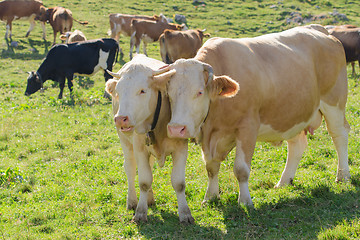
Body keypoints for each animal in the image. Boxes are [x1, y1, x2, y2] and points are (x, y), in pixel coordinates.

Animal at [105, 54, 194, 223]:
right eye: (118, 92)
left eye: (142, 91)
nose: (120, 119)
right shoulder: (139, 149)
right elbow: (144, 181)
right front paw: (140, 212)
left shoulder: (181, 147)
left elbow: (179, 183)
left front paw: (185, 213)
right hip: (125, 142)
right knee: (131, 169)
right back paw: (132, 201)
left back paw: (150, 199)